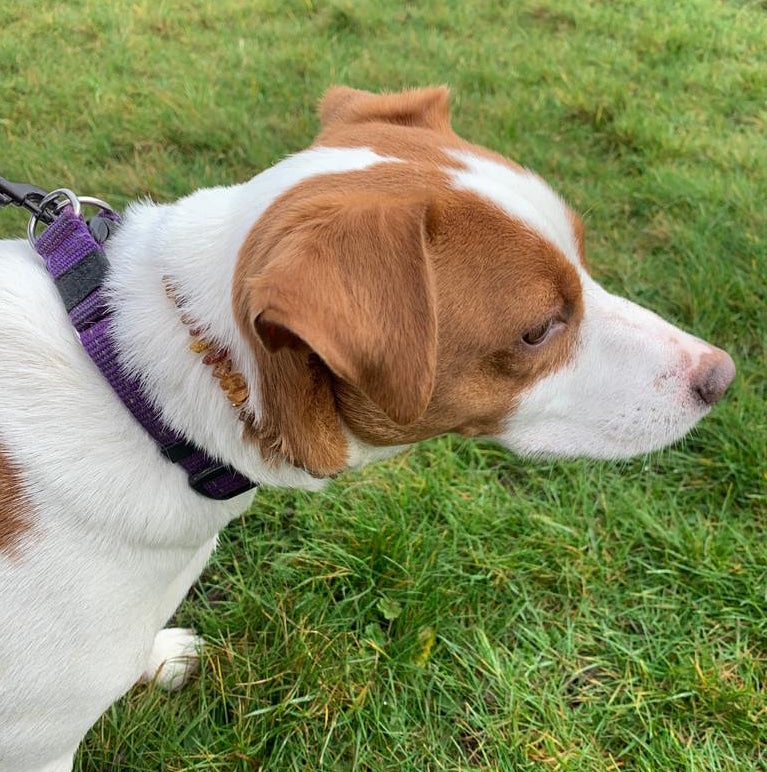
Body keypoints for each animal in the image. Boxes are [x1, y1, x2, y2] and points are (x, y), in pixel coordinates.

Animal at [0, 87, 736, 768]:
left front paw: (153, 656)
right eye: (537, 330)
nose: (721, 376)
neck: (146, 390)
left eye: (583, 261)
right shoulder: (39, 743)